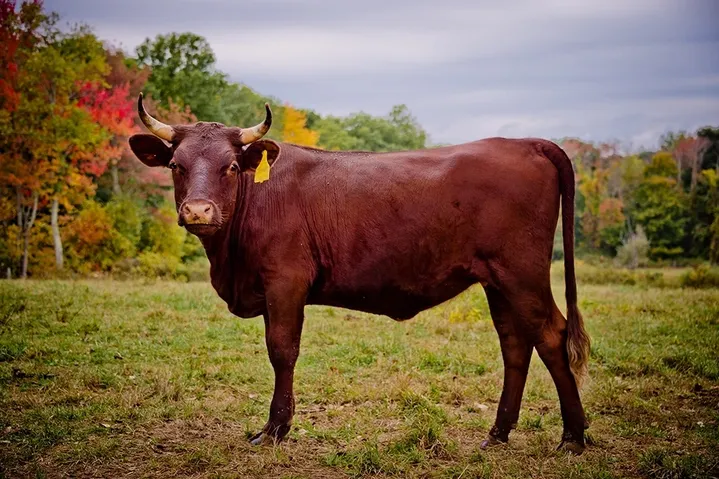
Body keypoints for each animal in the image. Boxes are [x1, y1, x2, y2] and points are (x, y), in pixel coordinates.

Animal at [128, 93, 591, 454]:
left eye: (229, 166)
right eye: (176, 165)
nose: (198, 211)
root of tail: (526, 143)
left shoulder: (285, 282)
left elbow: (282, 350)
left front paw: (275, 430)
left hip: (522, 275)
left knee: (551, 336)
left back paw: (572, 437)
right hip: (497, 281)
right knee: (515, 345)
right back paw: (498, 434)